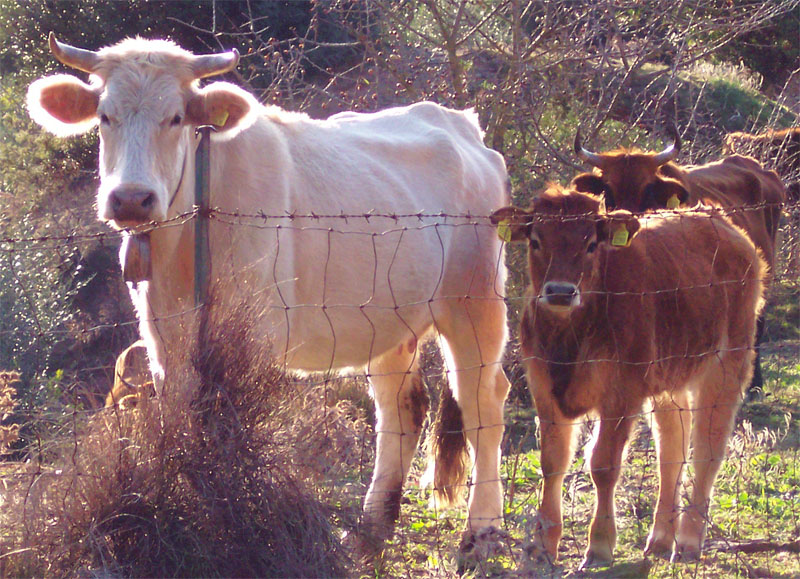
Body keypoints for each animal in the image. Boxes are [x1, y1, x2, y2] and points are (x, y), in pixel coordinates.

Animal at [27, 34, 512, 558]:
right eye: (104, 116)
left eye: (175, 117)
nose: (131, 199)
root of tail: (463, 126)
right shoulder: (164, 339)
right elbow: (181, 422)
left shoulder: (254, 336)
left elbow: (233, 425)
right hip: (388, 319)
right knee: (399, 407)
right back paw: (370, 531)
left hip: (475, 302)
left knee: (483, 402)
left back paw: (481, 531)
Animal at [491, 186, 764, 566]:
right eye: (535, 240)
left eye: (592, 243)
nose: (560, 291)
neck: (570, 335)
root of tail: (719, 221)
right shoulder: (544, 389)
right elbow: (553, 462)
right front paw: (542, 547)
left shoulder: (622, 394)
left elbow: (604, 464)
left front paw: (600, 546)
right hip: (668, 383)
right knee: (672, 447)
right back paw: (661, 538)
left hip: (727, 364)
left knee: (707, 448)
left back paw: (688, 541)